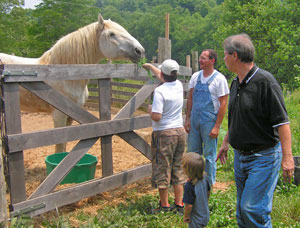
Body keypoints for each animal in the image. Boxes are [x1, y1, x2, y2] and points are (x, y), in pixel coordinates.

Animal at [0, 14, 145, 153]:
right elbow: (59, 147)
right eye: (111, 34)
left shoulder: (70, 116)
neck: (65, 74)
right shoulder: (59, 115)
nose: (140, 50)